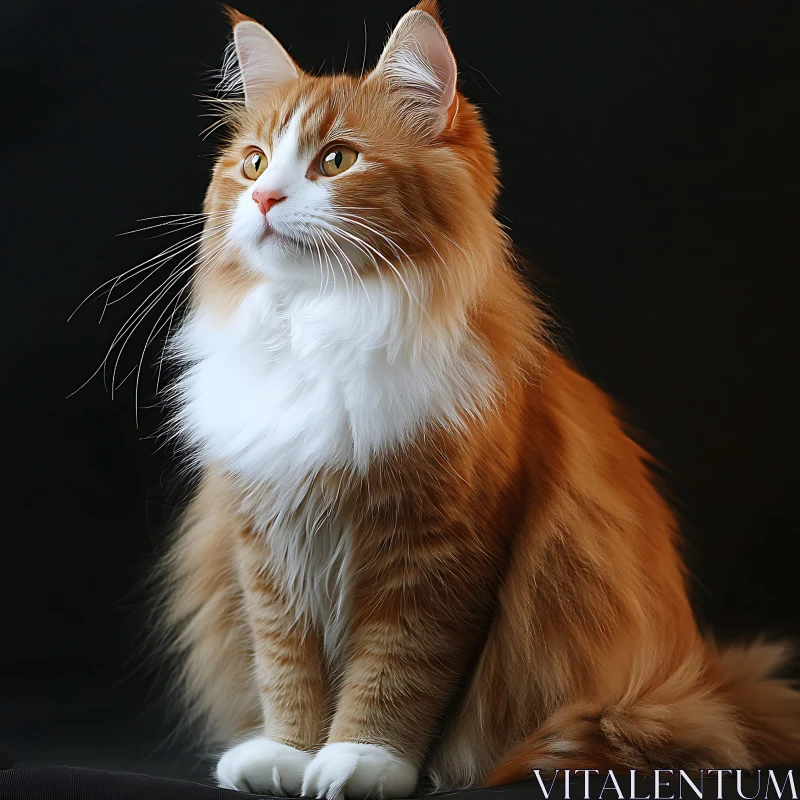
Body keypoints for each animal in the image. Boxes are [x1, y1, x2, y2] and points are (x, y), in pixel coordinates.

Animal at [161, 3, 800, 796]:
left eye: (335, 161)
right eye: (251, 163)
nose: (263, 198)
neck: (323, 326)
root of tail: (710, 678)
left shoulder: (440, 549)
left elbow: (397, 671)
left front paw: (361, 760)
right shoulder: (267, 550)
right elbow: (285, 664)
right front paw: (286, 753)